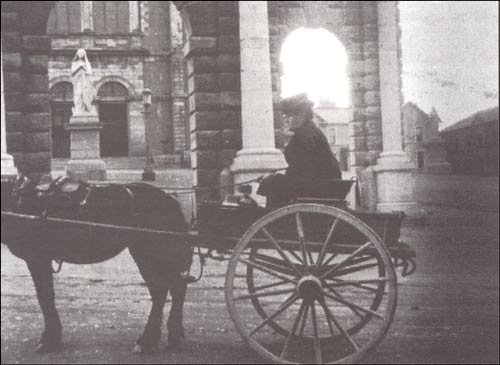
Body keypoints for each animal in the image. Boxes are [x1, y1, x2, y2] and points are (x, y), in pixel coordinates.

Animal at [0, 173, 193, 352]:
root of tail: (167, 198)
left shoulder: (37, 258)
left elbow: (45, 297)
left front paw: (49, 339)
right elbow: (47, 296)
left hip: (147, 253)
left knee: (161, 291)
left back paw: (147, 340)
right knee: (173, 288)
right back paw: (172, 336)